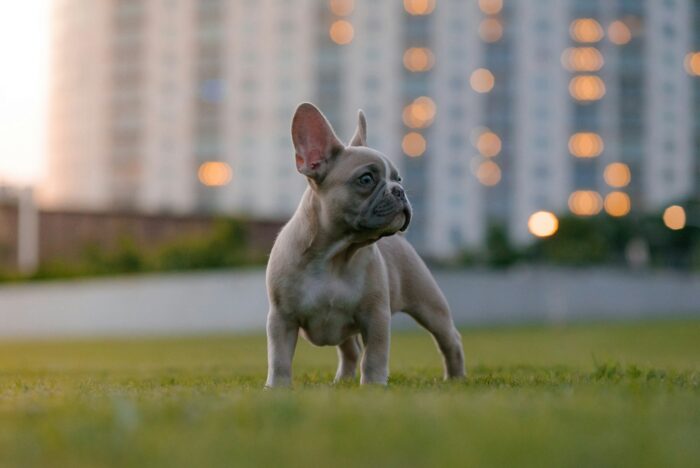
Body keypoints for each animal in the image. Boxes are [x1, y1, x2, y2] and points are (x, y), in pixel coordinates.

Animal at [264, 104, 464, 386]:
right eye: (366, 179)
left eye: (398, 179)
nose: (399, 191)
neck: (335, 253)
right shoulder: (282, 318)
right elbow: (279, 358)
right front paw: (277, 387)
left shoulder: (375, 316)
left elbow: (374, 356)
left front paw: (373, 386)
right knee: (351, 351)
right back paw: (342, 381)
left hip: (429, 305)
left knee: (449, 339)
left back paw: (456, 377)